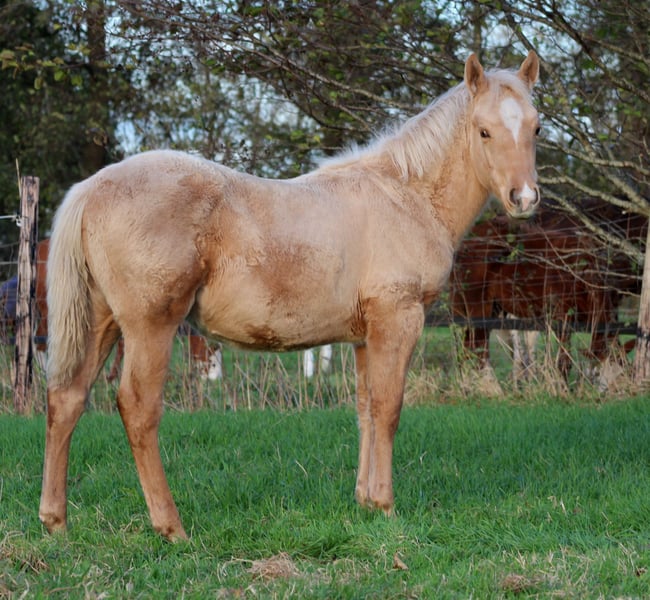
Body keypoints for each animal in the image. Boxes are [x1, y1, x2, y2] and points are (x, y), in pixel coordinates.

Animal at [40, 51, 540, 540]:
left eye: (536, 128)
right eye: (483, 130)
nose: (524, 198)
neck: (405, 195)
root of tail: (91, 188)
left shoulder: (365, 336)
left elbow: (365, 408)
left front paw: (364, 501)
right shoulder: (398, 320)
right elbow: (388, 407)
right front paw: (385, 505)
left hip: (101, 322)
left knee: (67, 398)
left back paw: (55, 521)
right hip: (150, 327)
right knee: (138, 408)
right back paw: (171, 527)